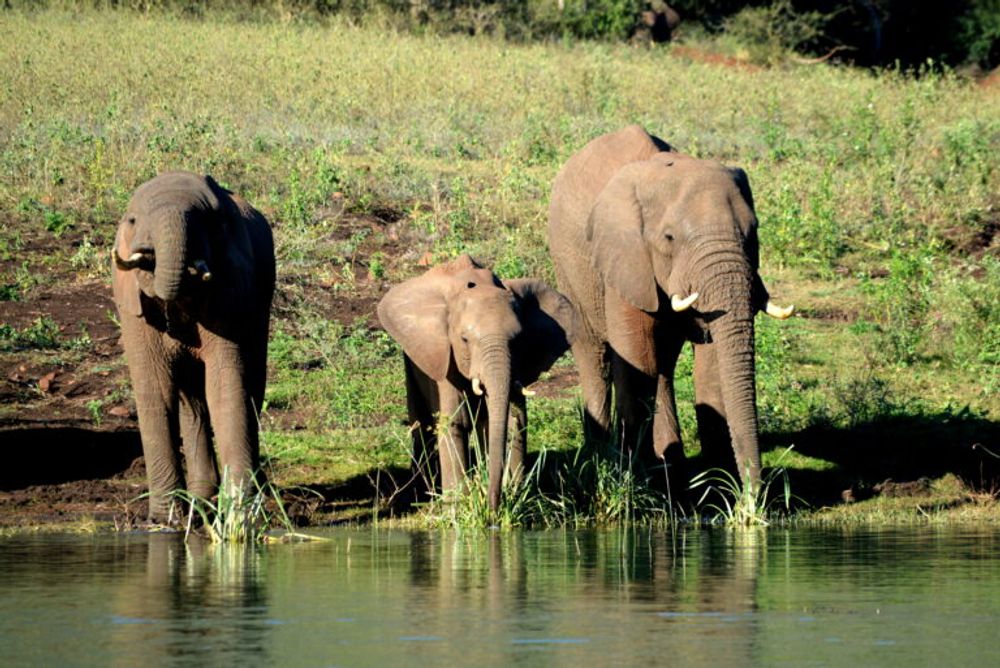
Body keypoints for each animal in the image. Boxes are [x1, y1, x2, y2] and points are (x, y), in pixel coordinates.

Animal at [112, 171, 275, 522]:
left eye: (210, 223)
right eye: (132, 220)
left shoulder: (231, 290)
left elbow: (224, 387)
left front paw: (240, 516)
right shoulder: (132, 308)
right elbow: (156, 391)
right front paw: (164, 521)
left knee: (252, 386)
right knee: (193, 403)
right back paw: (200, 500)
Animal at [377, 254, 575, 511]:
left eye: (519, 339)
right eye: (464, 339)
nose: (493, 508)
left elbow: (514, 420)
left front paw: (517, 495)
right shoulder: (446, 360)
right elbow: (454, 422)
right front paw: (456, 507)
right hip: (413, 358)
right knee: (420, 420)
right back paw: (422, 490)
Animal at [547, 125, 793, 492]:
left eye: (754, 232)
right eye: (669, 238)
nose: (754, 496)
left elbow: (712, 361)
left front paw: (719, 485)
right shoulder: (627, 257)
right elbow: (636, 359)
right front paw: (641, 484)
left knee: (663, 363)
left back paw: (670, 465)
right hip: (570, 266)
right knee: (597, 355)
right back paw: (603, 458)